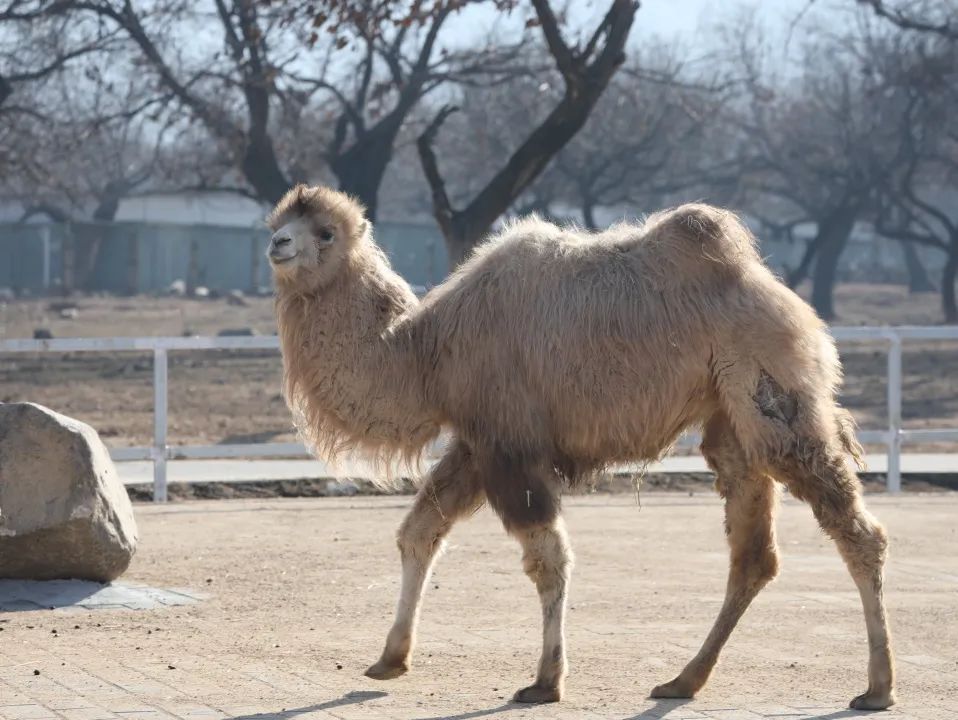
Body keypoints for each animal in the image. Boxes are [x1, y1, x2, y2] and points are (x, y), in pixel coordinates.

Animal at [266, 183, 896, 712]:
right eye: (280, 219)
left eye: (325, 231)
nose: (276, 244)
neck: (427, 352)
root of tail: (797, 310)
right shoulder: (477, 442)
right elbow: (419, 532)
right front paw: (390, 659)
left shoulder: (510, 444)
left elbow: (548, 557)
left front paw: (546, 680)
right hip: (730, 420)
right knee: (753, 554)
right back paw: (682, 680)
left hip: (773, 395)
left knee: (854, 529)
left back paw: (878, 687)